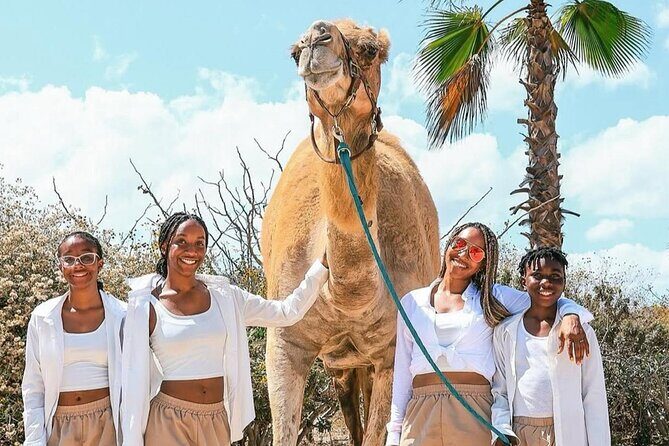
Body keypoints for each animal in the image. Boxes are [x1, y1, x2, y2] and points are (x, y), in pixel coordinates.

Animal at [260, 19, 440, 446]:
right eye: (294, 52)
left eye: (370, 49)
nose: (316, 39)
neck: (346, 297)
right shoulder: (284, 344)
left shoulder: (393, 350)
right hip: (341, 365)